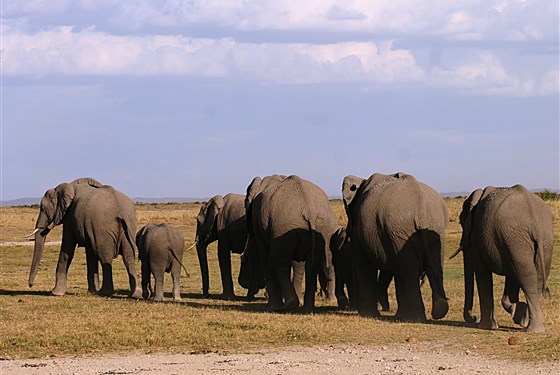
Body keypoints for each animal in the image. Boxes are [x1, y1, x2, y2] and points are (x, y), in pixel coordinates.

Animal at [240, 175, 336, 312]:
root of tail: (310, 209)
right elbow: (298, 263)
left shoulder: (258, 221)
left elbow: (264, 256)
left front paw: (271, 307)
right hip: (321, 227)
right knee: (312, 265)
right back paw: (306, 309)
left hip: (283, 227)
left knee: (276, 262)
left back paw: (289, 304)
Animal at [342, 172, 450, 322]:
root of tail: (421, 207)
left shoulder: (360, 228)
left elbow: (364, 263)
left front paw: (368, 315)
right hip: (432, 228)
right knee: (430, 267)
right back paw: (437, 311)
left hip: (400, 228)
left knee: (408, 271)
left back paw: (415, 318)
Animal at [456, 184, 556, 332]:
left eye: (461, 221)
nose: (473, 317)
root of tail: (533, 217)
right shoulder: (505, 243)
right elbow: (512, 276)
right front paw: (518, 313)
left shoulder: (476, 236)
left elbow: (482, 271)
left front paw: (486, 326)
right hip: (540, 239)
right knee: (533, 277)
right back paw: (530, 324)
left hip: (516, 237)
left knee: (526, 275)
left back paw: (532, 329)